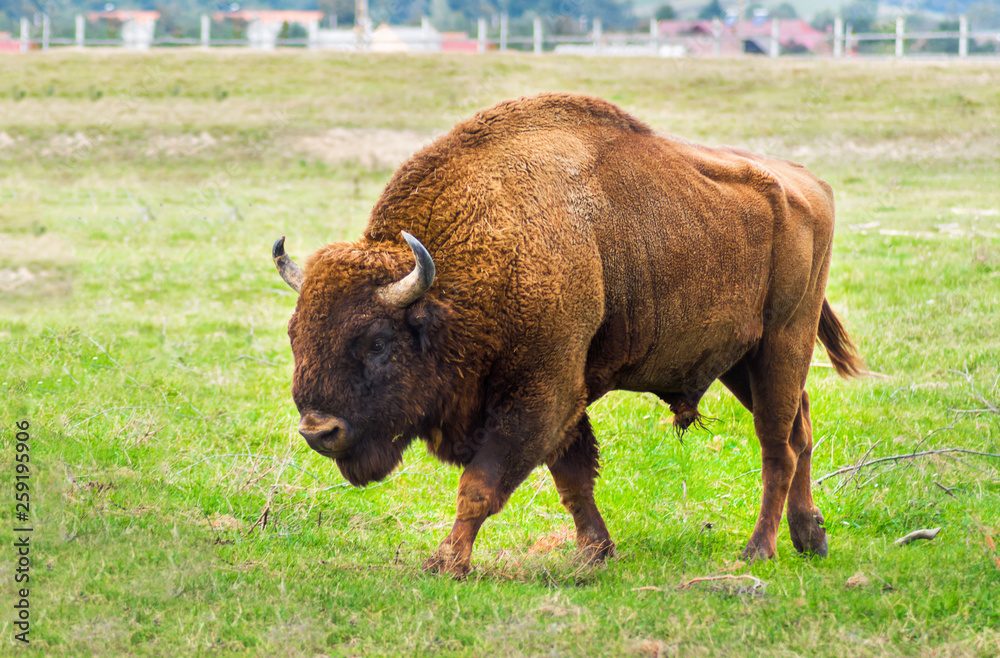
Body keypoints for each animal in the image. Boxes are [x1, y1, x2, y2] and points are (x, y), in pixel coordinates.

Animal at [270, 91, 864, 576]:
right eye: (295, 334)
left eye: (377, 342)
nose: (319, 431)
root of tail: (809, 183)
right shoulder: (562, 398)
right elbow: (573, 476)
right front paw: (596, 552)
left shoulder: (543, 393)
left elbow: (481, 486)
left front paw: (447, 562)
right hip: (743, 360)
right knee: (800, 431)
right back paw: (810, 538)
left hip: (783, 341)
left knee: (777, 446)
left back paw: (758, 550)